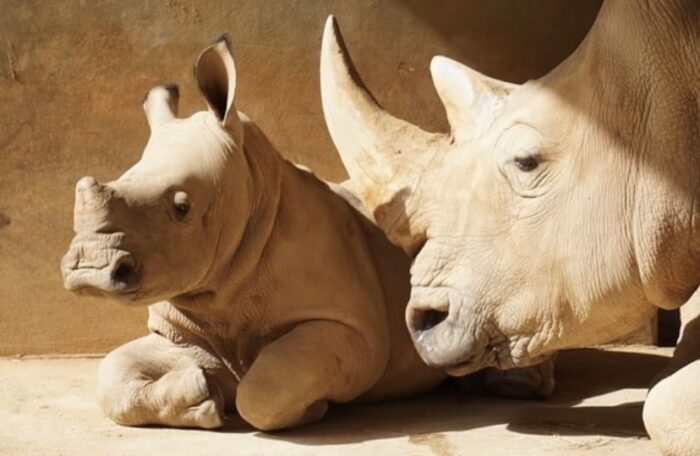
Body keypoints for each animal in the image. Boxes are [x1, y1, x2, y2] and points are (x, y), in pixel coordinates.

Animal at [61, 35, 442, 432]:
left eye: (182, 208)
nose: (89, 268)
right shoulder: (181, 331)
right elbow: (113, 373)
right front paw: (202, 395)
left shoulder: (353, 329)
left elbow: (265, 386)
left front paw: (313, 409)